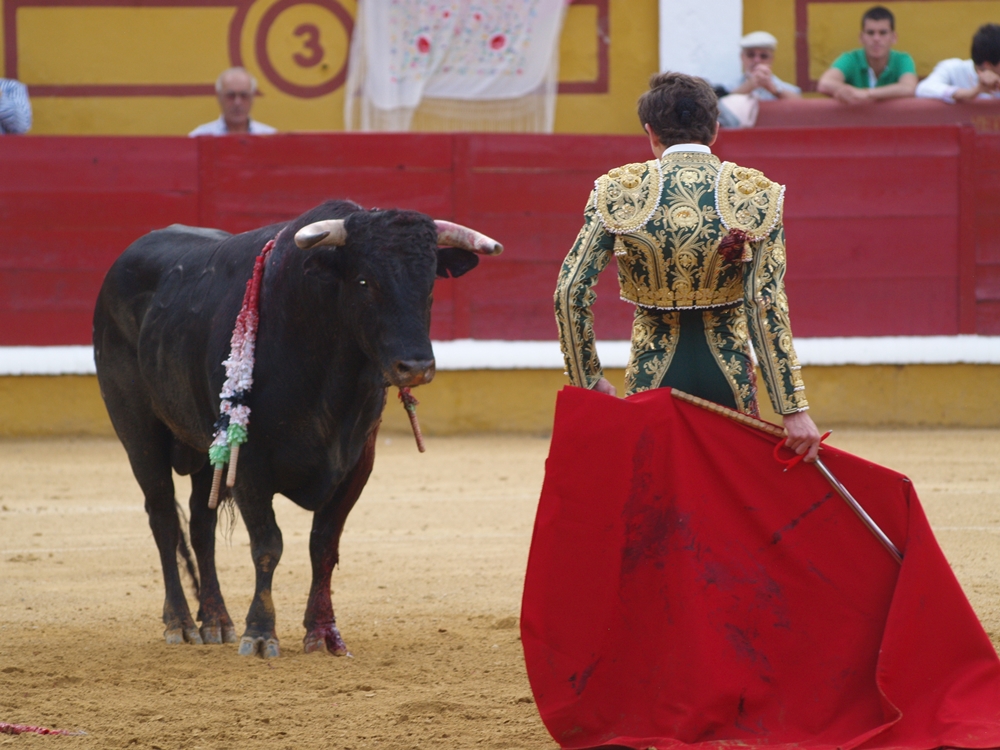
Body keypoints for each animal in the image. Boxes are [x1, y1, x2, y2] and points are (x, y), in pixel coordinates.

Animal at [94, 198, 500, 656]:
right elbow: (268, 545)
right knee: (163, 517)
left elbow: (323, 545)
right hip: (138, 432)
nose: (415, 366)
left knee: (201, 524)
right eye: (364, 280)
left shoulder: (356, 462)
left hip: (205, 443)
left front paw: (322, 632)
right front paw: (259, 633)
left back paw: (216, 621)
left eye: (428, 281)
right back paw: (180, 623)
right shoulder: (250, 465)